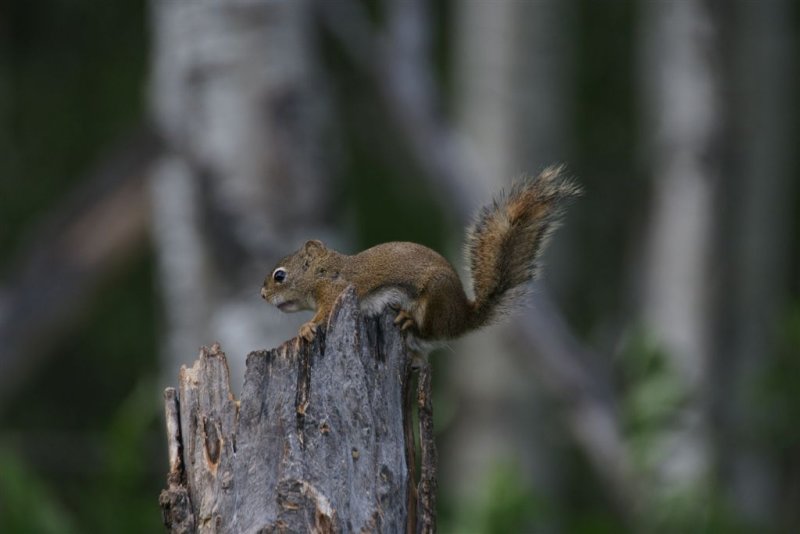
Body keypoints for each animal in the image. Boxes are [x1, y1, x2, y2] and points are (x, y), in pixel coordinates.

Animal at [262, 165, 580, 346]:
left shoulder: (335, 292)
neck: (325, 271)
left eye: (280, 276)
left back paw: (408, 321)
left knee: (428, 332)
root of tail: (462, 317)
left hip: (434, 300)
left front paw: (305, 328)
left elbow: (324, 314)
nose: (262, 295)